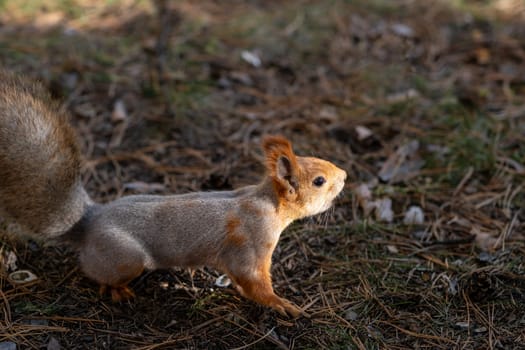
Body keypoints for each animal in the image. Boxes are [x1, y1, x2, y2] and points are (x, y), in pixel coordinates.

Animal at [1, 69, 348, 318]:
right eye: (319, 181)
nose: (344, 176)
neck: (268, 204)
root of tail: (88, 223)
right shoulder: (250, 244)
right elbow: (253, 281)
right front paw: (283, 305)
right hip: (125, 257)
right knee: (97, 274)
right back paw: (117, 291)